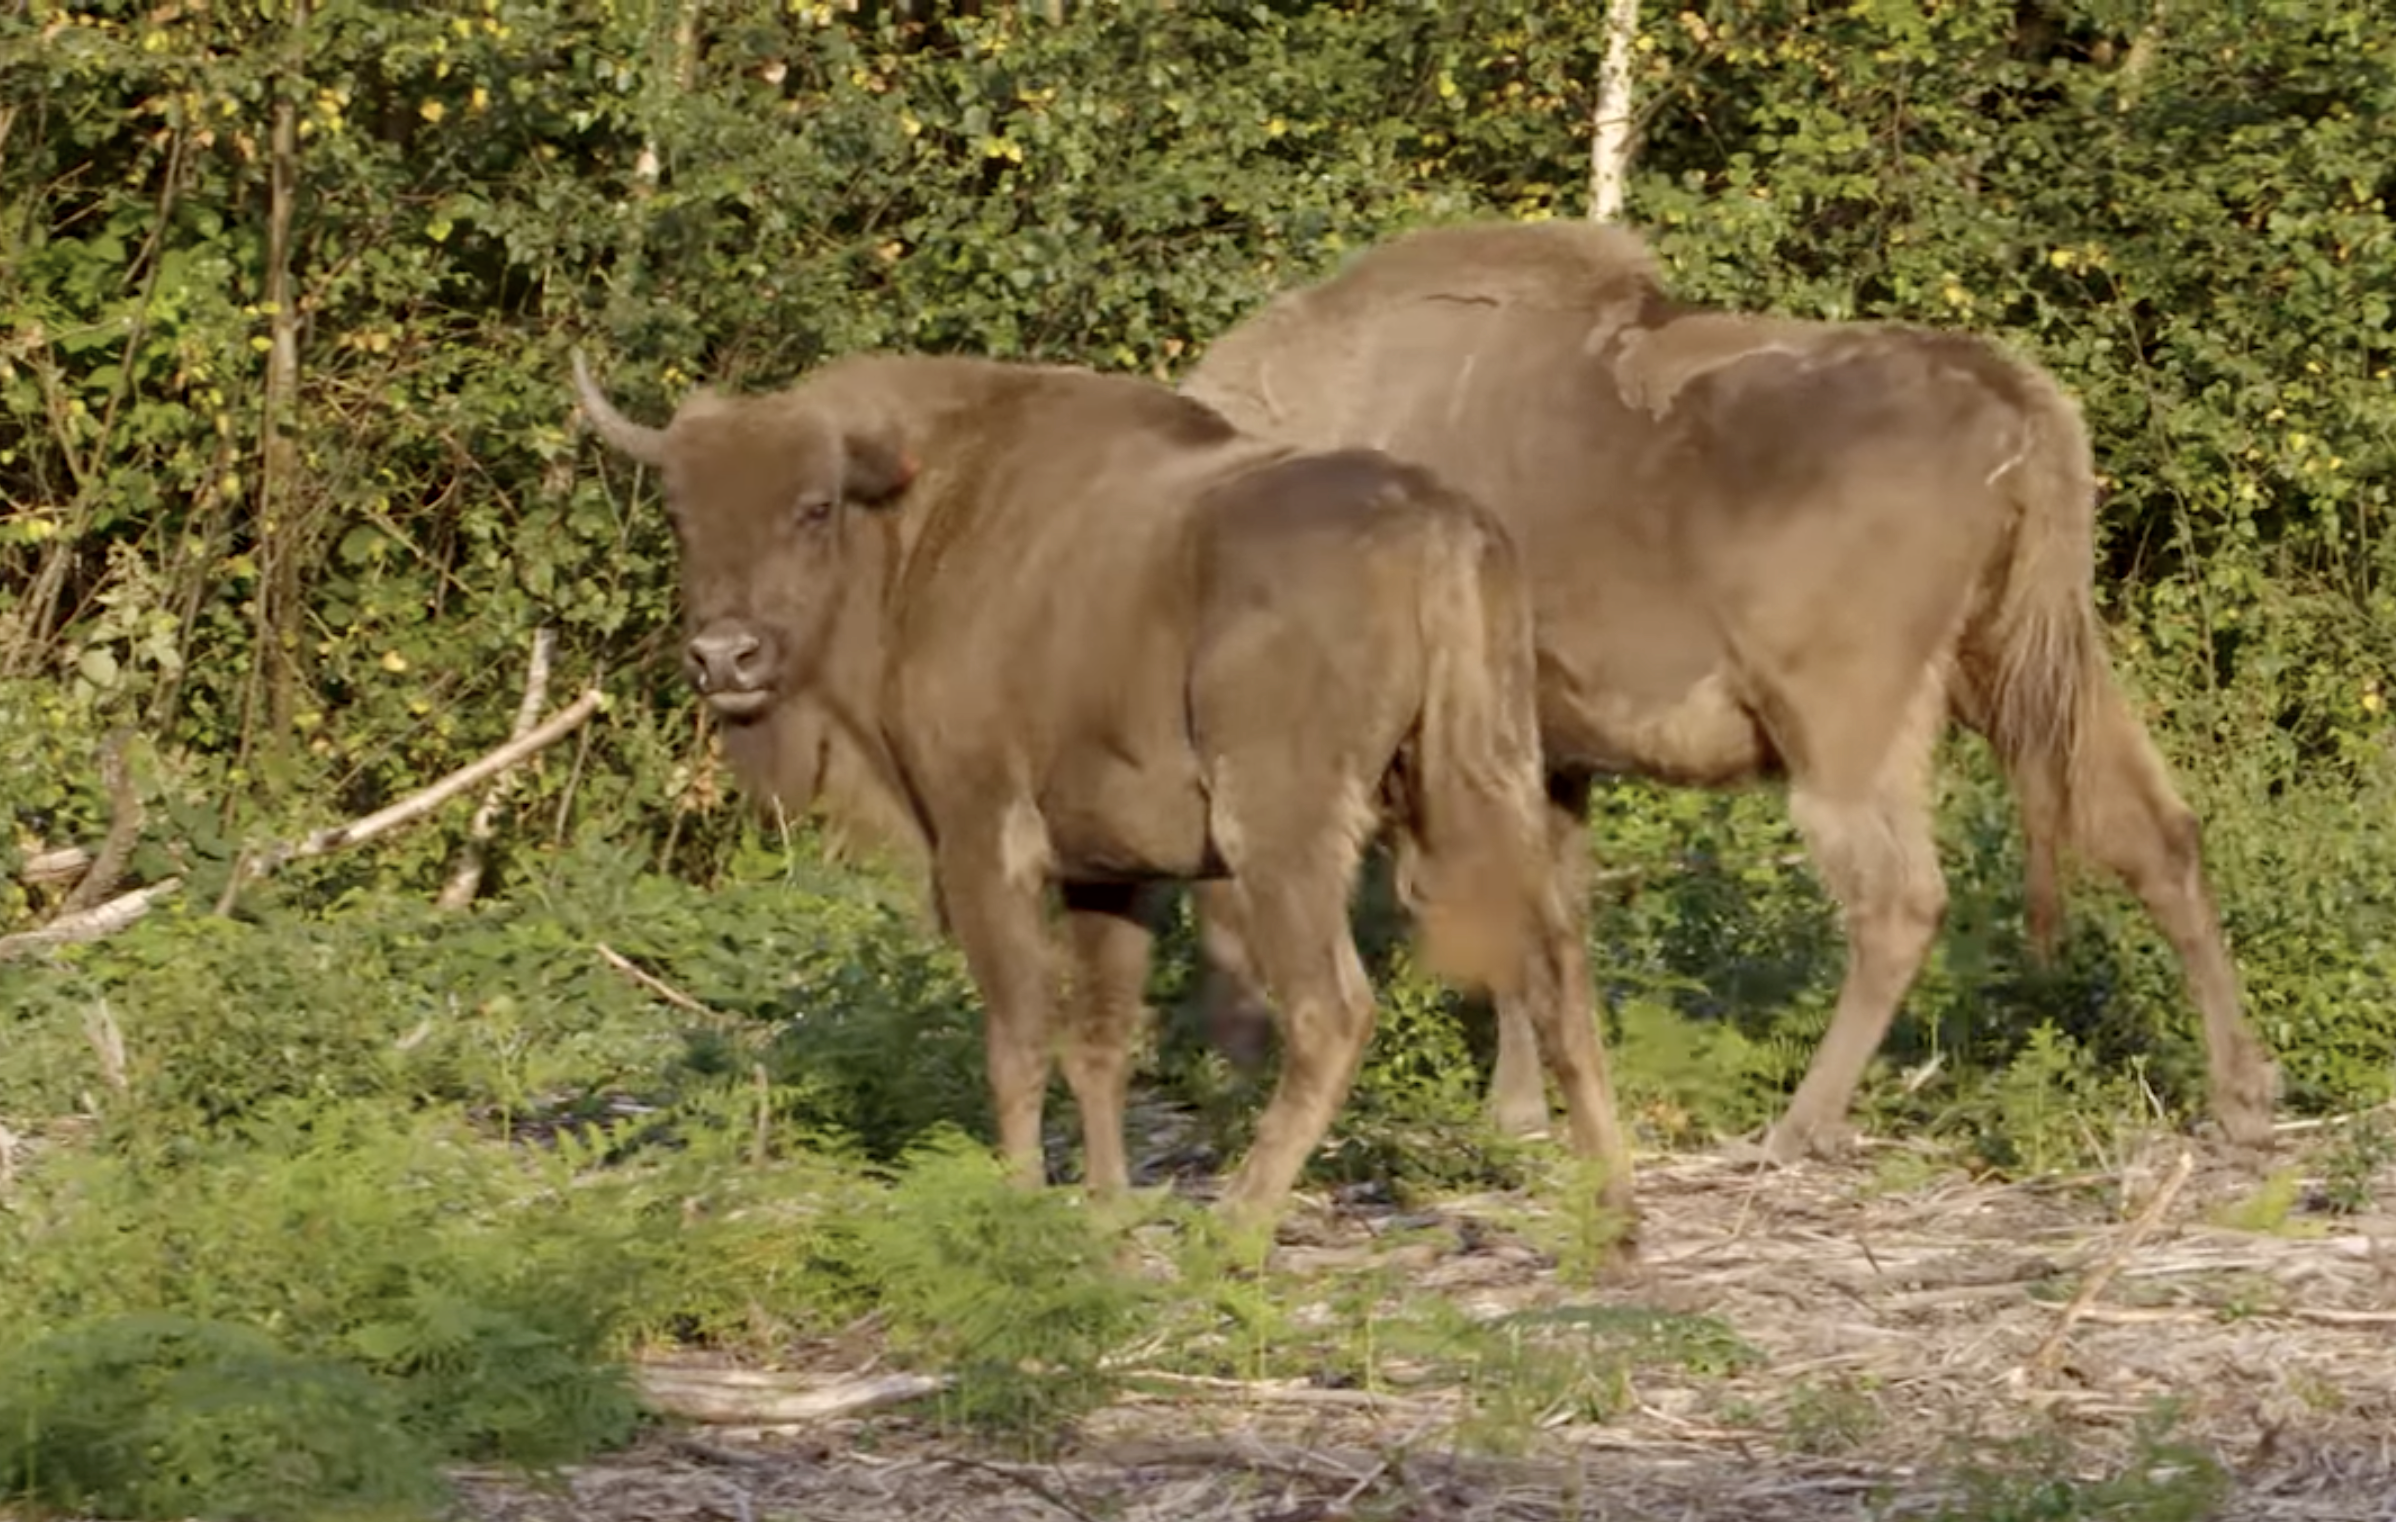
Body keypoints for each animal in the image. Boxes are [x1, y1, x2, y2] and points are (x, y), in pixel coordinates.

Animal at [570, 352, 1638, 1236]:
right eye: (680, 513)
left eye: (814, 505)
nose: (726, 657)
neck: (923, 521)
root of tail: (1435, 521)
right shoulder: (1110, 873)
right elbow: (1100, 1044)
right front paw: (1108, 1210)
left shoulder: (983, 838)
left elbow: (1017, 1037)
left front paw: (1022, 1202)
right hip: (1491, 782)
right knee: (1558, 973)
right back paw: (1615, 1224)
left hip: (1283, 833)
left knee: (1333, 1010)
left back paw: (1237, 1230)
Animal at [1178, 216, 2280, 1164]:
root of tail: (2017, 398)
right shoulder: (1556, 758)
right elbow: (1552, 915)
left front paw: (1513, 1109)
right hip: (2027, 665)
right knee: (2154, 833)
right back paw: (2242, 1095)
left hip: (1845, 723)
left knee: (1898, 899)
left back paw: (1797, 1125)